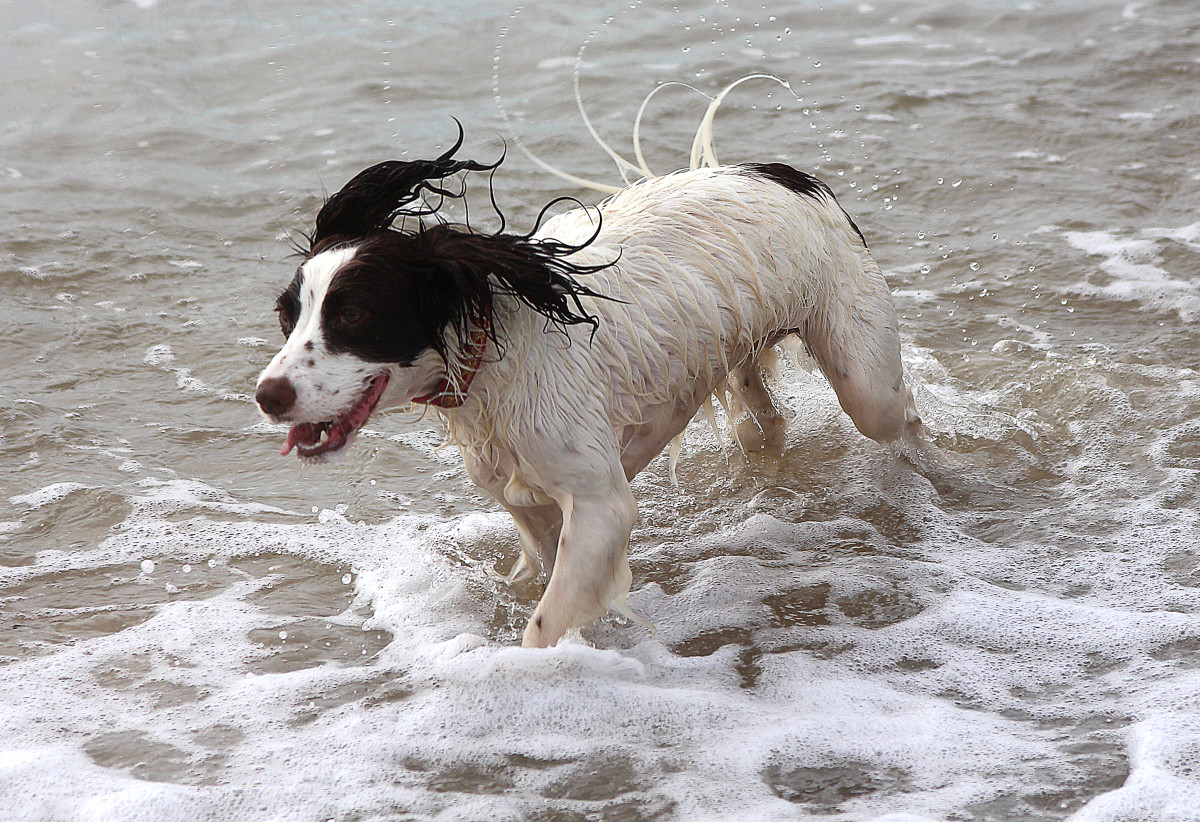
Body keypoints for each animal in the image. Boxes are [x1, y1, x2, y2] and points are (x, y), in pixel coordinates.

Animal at [258, 128, 921, 648]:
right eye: (288, 316)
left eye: (353, 314)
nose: (268, 395)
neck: (493, 355)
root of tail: (781, 173)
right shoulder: (536, 509)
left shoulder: (601, 503)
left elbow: (545, 625)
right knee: (760, 419)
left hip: (866, 384)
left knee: (900, 418)